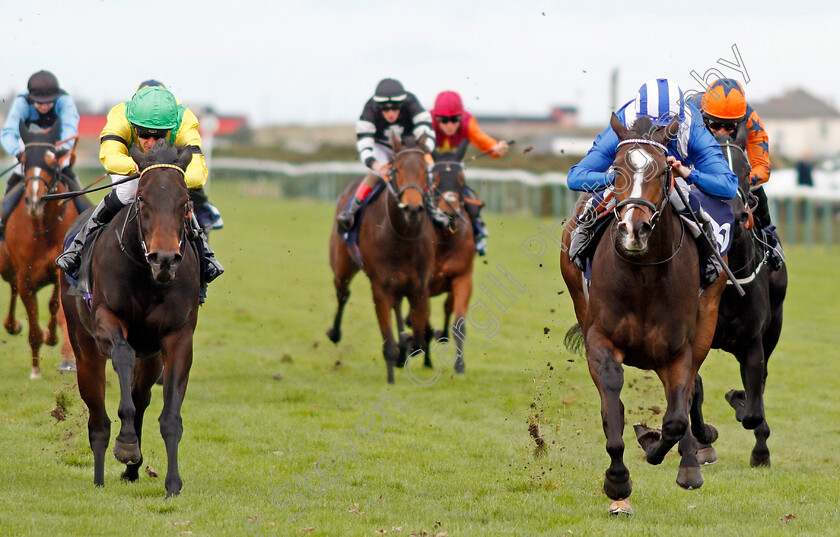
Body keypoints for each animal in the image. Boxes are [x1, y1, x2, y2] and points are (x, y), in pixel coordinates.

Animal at [0, 121, 81, 376]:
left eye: (52, 161)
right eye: (23, 158)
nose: (35, 200)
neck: (41, 229)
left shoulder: (60, 270)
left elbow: (58, 308)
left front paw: (63, 353)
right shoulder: (25, 275)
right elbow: (34, 324)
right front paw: (35, 369)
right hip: (6, 266)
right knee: (12, 287)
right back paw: (13, 325)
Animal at [60, 140, 200, 496]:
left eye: (185, 202)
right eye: (142, 199)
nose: (165, 259)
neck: (147, 277)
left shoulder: (177, 337)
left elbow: (170, 415)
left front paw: (172, 483)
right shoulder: (105, 320)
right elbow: (122, 355)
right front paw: (125, 444)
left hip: (151, 357)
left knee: (141, 394)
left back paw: (134, 468)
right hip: (84, 347)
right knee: (97, 418)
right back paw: (101, 474)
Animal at [326, 136, 434, 384]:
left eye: (425, 169)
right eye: (396, 170)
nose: (413, 208)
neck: (403, 237)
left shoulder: (420, 287)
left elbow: (418, 343)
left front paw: (405, 350)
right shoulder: (380, 287)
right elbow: (389, 343)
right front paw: (391, 377)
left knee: (397, 305)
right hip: (342, 265)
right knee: (342, 293)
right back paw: (334, 332)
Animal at [556, 115, 728, 512]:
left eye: (665, 170)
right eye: (616, 169)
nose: (634, 230)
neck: (643, 274)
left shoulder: (678, 349)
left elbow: (676, 417)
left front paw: (658, 447)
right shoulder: (600, 340)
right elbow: (612, 405)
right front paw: (618, 483)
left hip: (706, 321)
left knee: (686, 394)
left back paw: (691, 459)